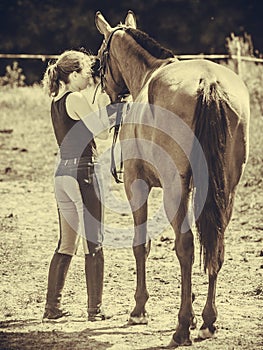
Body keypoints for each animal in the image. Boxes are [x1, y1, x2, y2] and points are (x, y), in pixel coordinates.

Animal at [94, 10, 250, 348]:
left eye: (100, 58)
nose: (110, 96)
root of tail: (209, 82)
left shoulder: (137, 185)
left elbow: (142, 244)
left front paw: (139, 310)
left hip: (173, 189)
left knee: (186, 246)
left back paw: (181, 328)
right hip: (226, 191)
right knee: (216, 244)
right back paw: (207, 322)